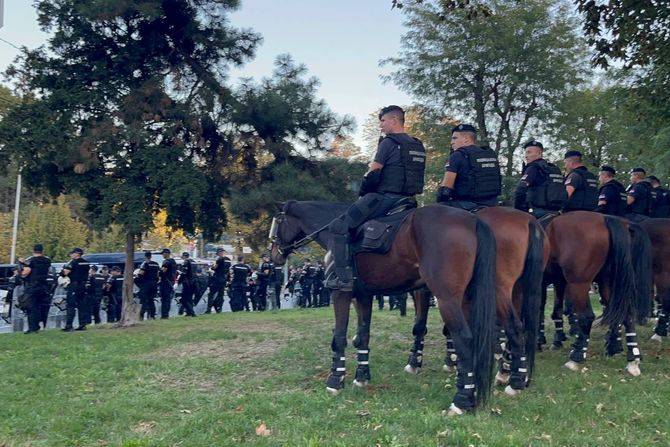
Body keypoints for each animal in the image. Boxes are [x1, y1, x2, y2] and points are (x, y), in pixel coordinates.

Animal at [270, 201, 498, 414]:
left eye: (277, 222)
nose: (273, 256)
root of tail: (473, 220)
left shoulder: (340, 294)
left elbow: (339, 337)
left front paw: (336, 379)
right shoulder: (364, 296)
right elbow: (363, 335)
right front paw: (361, 377)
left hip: (447, 299)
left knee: (465, 339)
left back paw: (461, 401)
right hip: (465, 300)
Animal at [404, 206, 552, 396]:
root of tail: (529, 221)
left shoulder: (427, 291)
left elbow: (421, 324)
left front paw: (416, 361)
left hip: (499, 289)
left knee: (513, 326)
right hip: (518, 290)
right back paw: (508, 372)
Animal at [544, 212, 652, 376]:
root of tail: (606, 218)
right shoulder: (557, 282)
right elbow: (556, 311)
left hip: (579, 284)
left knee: (586, 317)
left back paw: (575, 358)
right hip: (608, 284)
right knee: (626, 315)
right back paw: (633, 360)